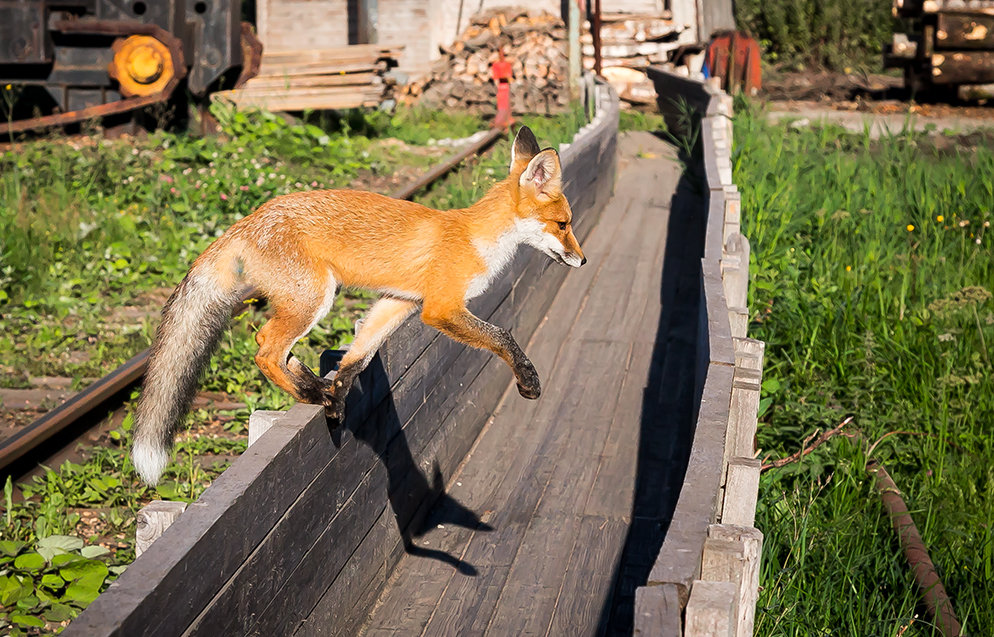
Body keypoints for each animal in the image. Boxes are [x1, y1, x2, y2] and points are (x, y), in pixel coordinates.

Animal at [130, 123, 580, 482]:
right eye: (563, 225)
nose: (583, 259)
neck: (475, 238)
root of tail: (245, 221)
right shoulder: (441, 307)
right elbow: (502, 336)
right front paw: (528, 379)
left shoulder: (399, 302)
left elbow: (358, 357)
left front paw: (340, 395)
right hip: (315, 298)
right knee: (264, 348)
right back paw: (310, 393)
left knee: (275, 348)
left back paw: (315, 386)